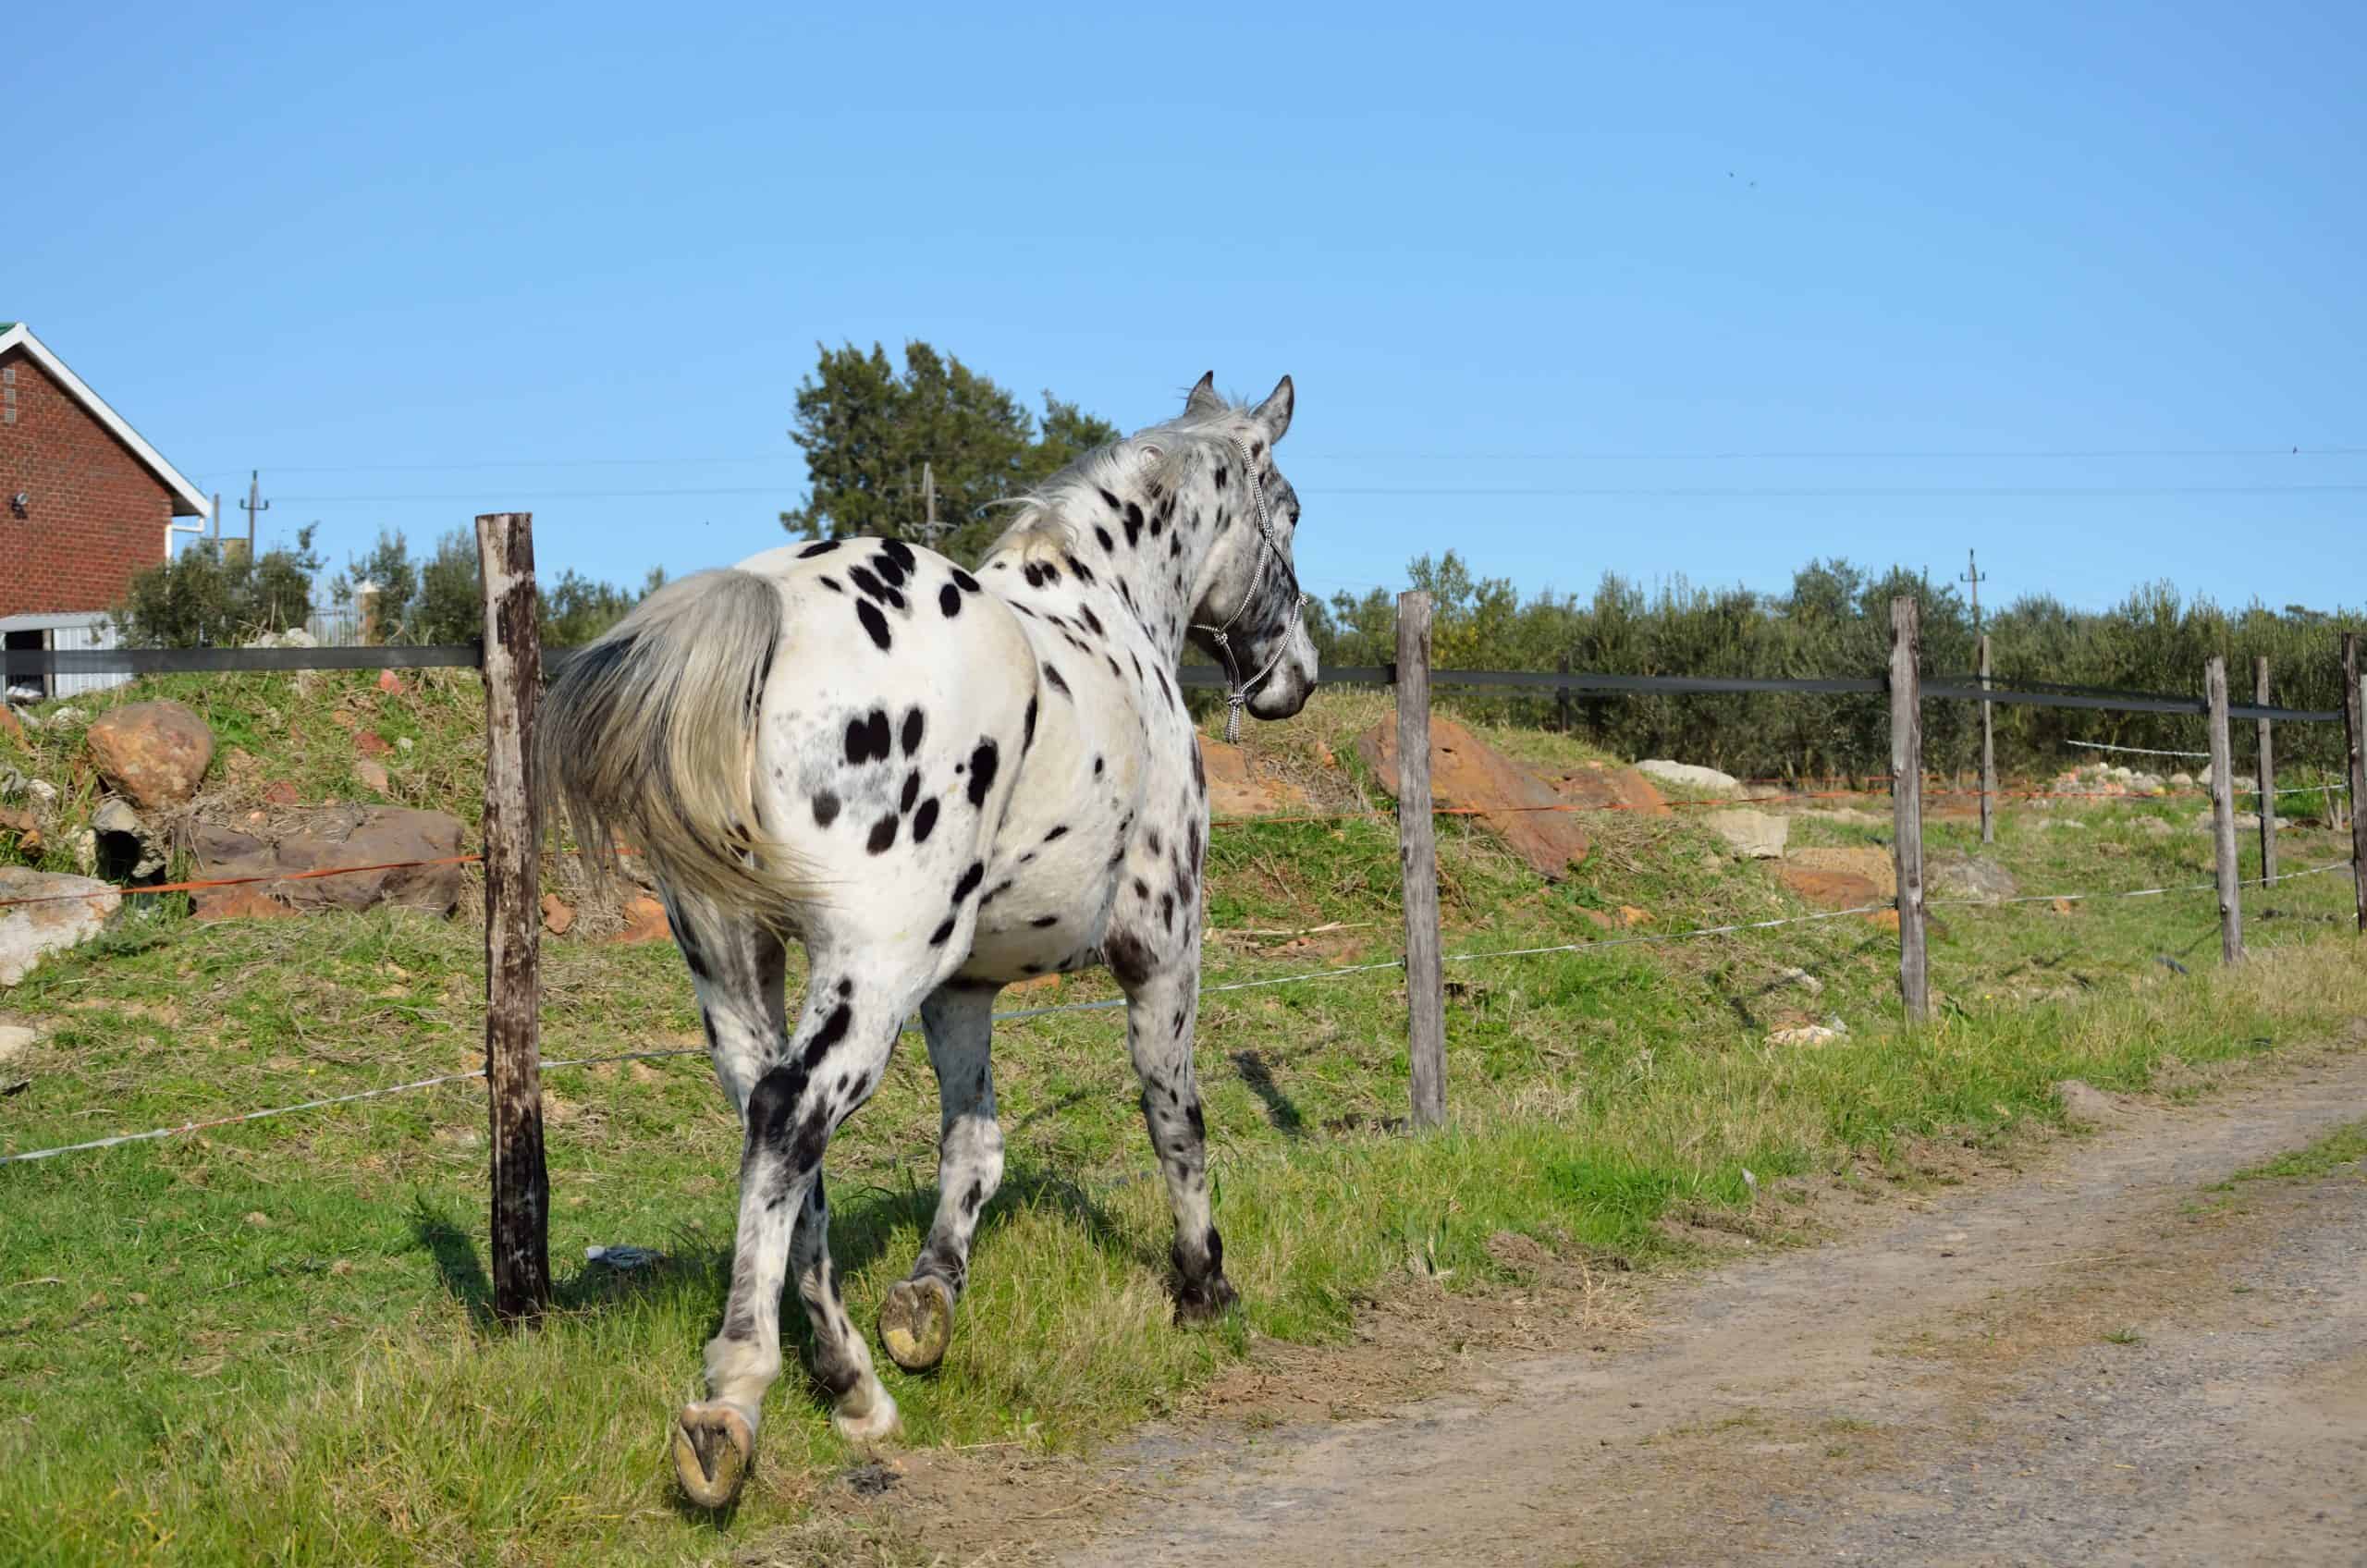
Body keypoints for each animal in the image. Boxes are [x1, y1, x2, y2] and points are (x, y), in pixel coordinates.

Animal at [542, 372, 1316, 1515]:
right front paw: (1203, 1286)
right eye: (1290, 512)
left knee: (779, 1141)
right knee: (791, 1116)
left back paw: (854, 1385)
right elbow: (1175, 1119)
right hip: (872, 969)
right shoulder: (1162, 948)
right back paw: (734, 1402)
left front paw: (929, 1299)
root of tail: (765, 607)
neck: (1106, 616)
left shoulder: (965, 990)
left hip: (741, 968)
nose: (1295, 677)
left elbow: (973, 1146)